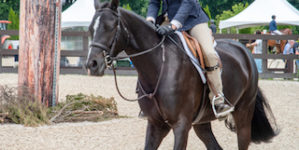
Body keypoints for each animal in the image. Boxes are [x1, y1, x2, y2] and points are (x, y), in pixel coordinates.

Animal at [85, 0, 278, 149]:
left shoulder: (181, 125)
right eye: (90, 29)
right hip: (202, 122)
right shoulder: (156, 125)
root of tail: (243, 49)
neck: (159, 66)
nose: (92, 65)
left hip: (244, 113)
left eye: (111, 27)